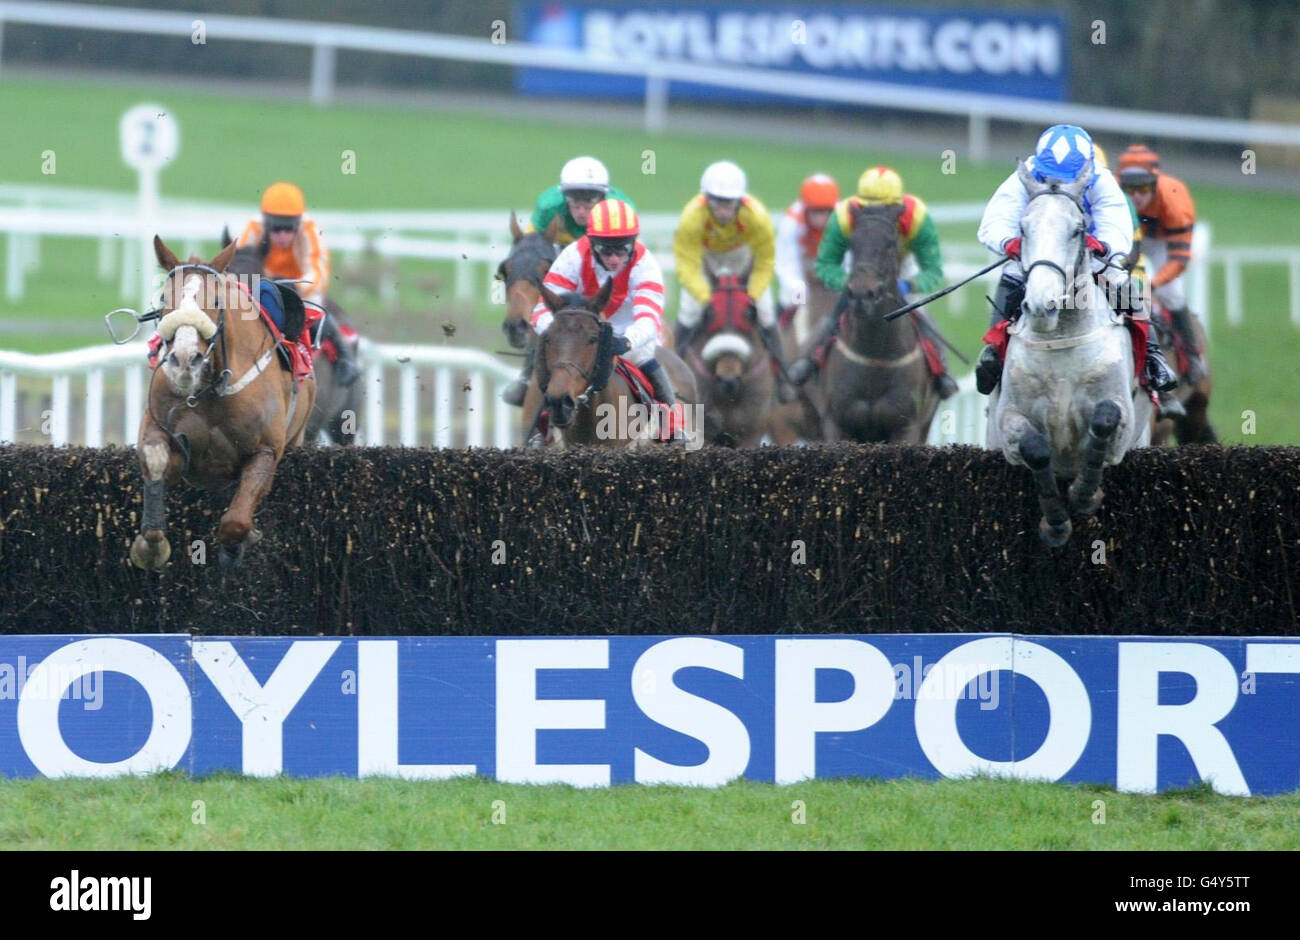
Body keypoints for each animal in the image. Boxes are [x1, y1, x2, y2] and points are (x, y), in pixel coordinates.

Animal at [129, 239, 317, 569]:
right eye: (164, 297)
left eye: (217, 300)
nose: (184, 360)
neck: (209, 389)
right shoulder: (160, 426)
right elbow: (156, 460)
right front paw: (151, 544)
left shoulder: (267, 449)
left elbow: (236, 521)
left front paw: (237, 546)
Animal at [821, 201, 935, 442]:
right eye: (853, 242)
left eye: (891, 243)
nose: (862, 294)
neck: (875, 356)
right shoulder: (835, 424)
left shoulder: (907, 426)